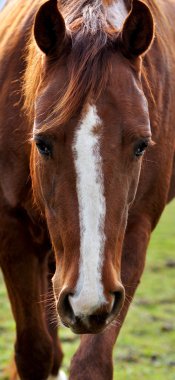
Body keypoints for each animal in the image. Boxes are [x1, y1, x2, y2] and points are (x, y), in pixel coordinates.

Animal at [0, 0, 174, 378]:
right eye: (41, 143)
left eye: (142, 145)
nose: (86, 297)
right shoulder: (13, 229)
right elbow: (34, 354)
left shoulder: (134, 233)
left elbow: (91, 363)